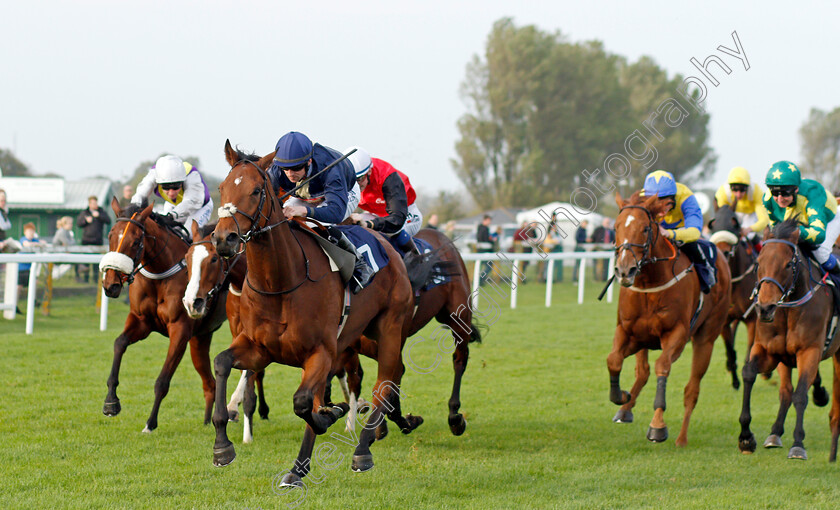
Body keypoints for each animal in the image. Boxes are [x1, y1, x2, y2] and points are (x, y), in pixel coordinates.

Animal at [98, 199, 226, 430]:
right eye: (111, 235)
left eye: (136, 241)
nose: (111, 285)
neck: (160, 275)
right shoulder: (141, 321)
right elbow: (119, 344)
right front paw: (111, 402)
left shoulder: (180, 329)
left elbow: (162, 381)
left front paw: (150, 423)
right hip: (201, 338)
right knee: (210, 383)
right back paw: (207, 422)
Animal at [210, 141, 420, 484]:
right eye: (222, 187)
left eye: (256, 191)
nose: (223, 238)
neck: (281, 282)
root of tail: (387, 244)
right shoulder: (260, 349)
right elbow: (222, 362)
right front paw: (222, 446)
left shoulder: (320, 351)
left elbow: (302, 403)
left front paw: (332, 416)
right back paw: (298, 470)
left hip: (389, 329)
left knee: (384, 383)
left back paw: (363, 449)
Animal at [608, 192, 732, 446]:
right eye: (615, 227)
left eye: (646, 228)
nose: (624, 270)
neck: (650, 283)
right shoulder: (629, 332)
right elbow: (614, 360)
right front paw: (621, 396)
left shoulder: (676, 335)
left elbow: (662, 367)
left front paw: (657, 426)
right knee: (642, 371)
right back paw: (625, 410)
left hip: (706, 338)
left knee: (692, 390)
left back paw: (682, 439)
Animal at [736, 219, 840, 462]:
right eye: (759, 263)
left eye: (787, 265)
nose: (765, 308)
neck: (787, 310)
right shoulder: (768, 350)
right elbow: (749, 374)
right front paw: (746, 437)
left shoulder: (809, 351)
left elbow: (800, 394)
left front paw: (798, 444)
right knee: (785, 391)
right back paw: (775, 433)